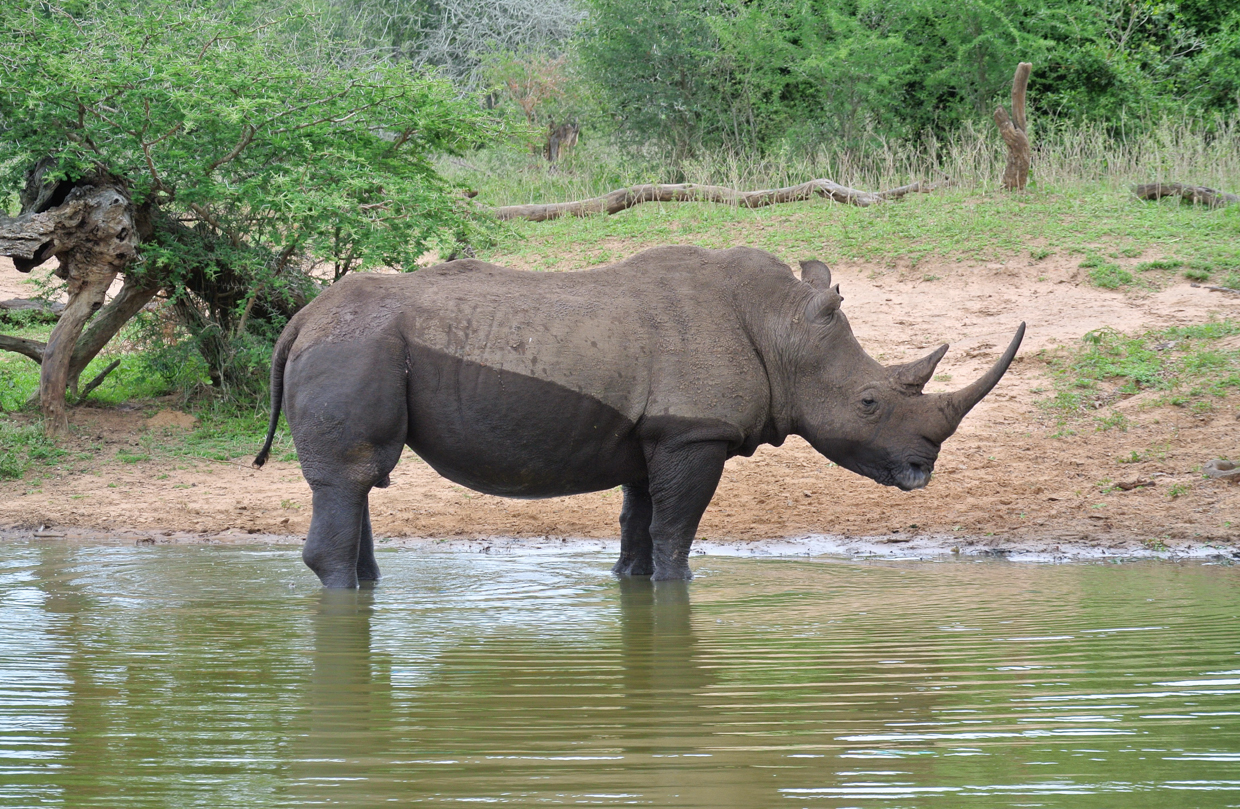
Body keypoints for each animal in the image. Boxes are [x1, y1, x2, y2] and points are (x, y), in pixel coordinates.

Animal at [255, 246, 1024, 587]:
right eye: (870, 403)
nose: (923, 468)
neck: (781, 330)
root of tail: (301, 320)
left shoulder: (654, 432)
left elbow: (639, 523)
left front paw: (632, 583)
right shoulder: (693, 432)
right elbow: (676, 531)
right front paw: (678, 588)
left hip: (361, 346)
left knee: (357, 481)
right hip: (355, 347)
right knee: (350, 476)